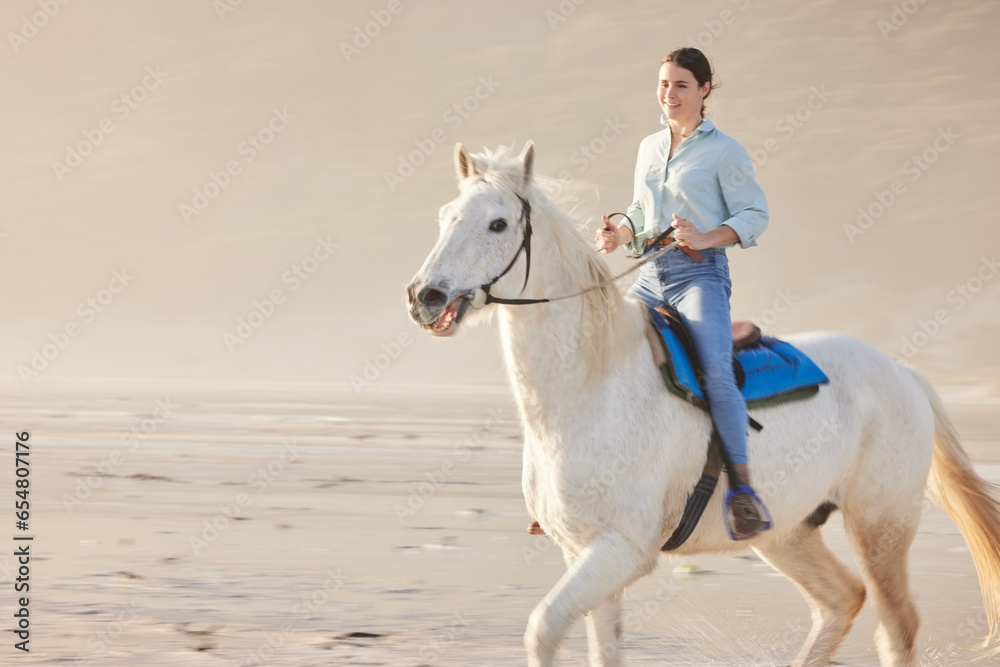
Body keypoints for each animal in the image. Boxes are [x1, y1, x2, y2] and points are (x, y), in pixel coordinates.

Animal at [404, 142, 1000, 667]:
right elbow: (601, 650)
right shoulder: (585, 555)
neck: (590, 392)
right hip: (788, 533)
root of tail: (901, 373)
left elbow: (542, 629)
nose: (424, 297)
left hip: (881, 526)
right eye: (444, 217)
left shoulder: (621, 551)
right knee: (841, 600)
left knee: (897, 628)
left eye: (498, 224)